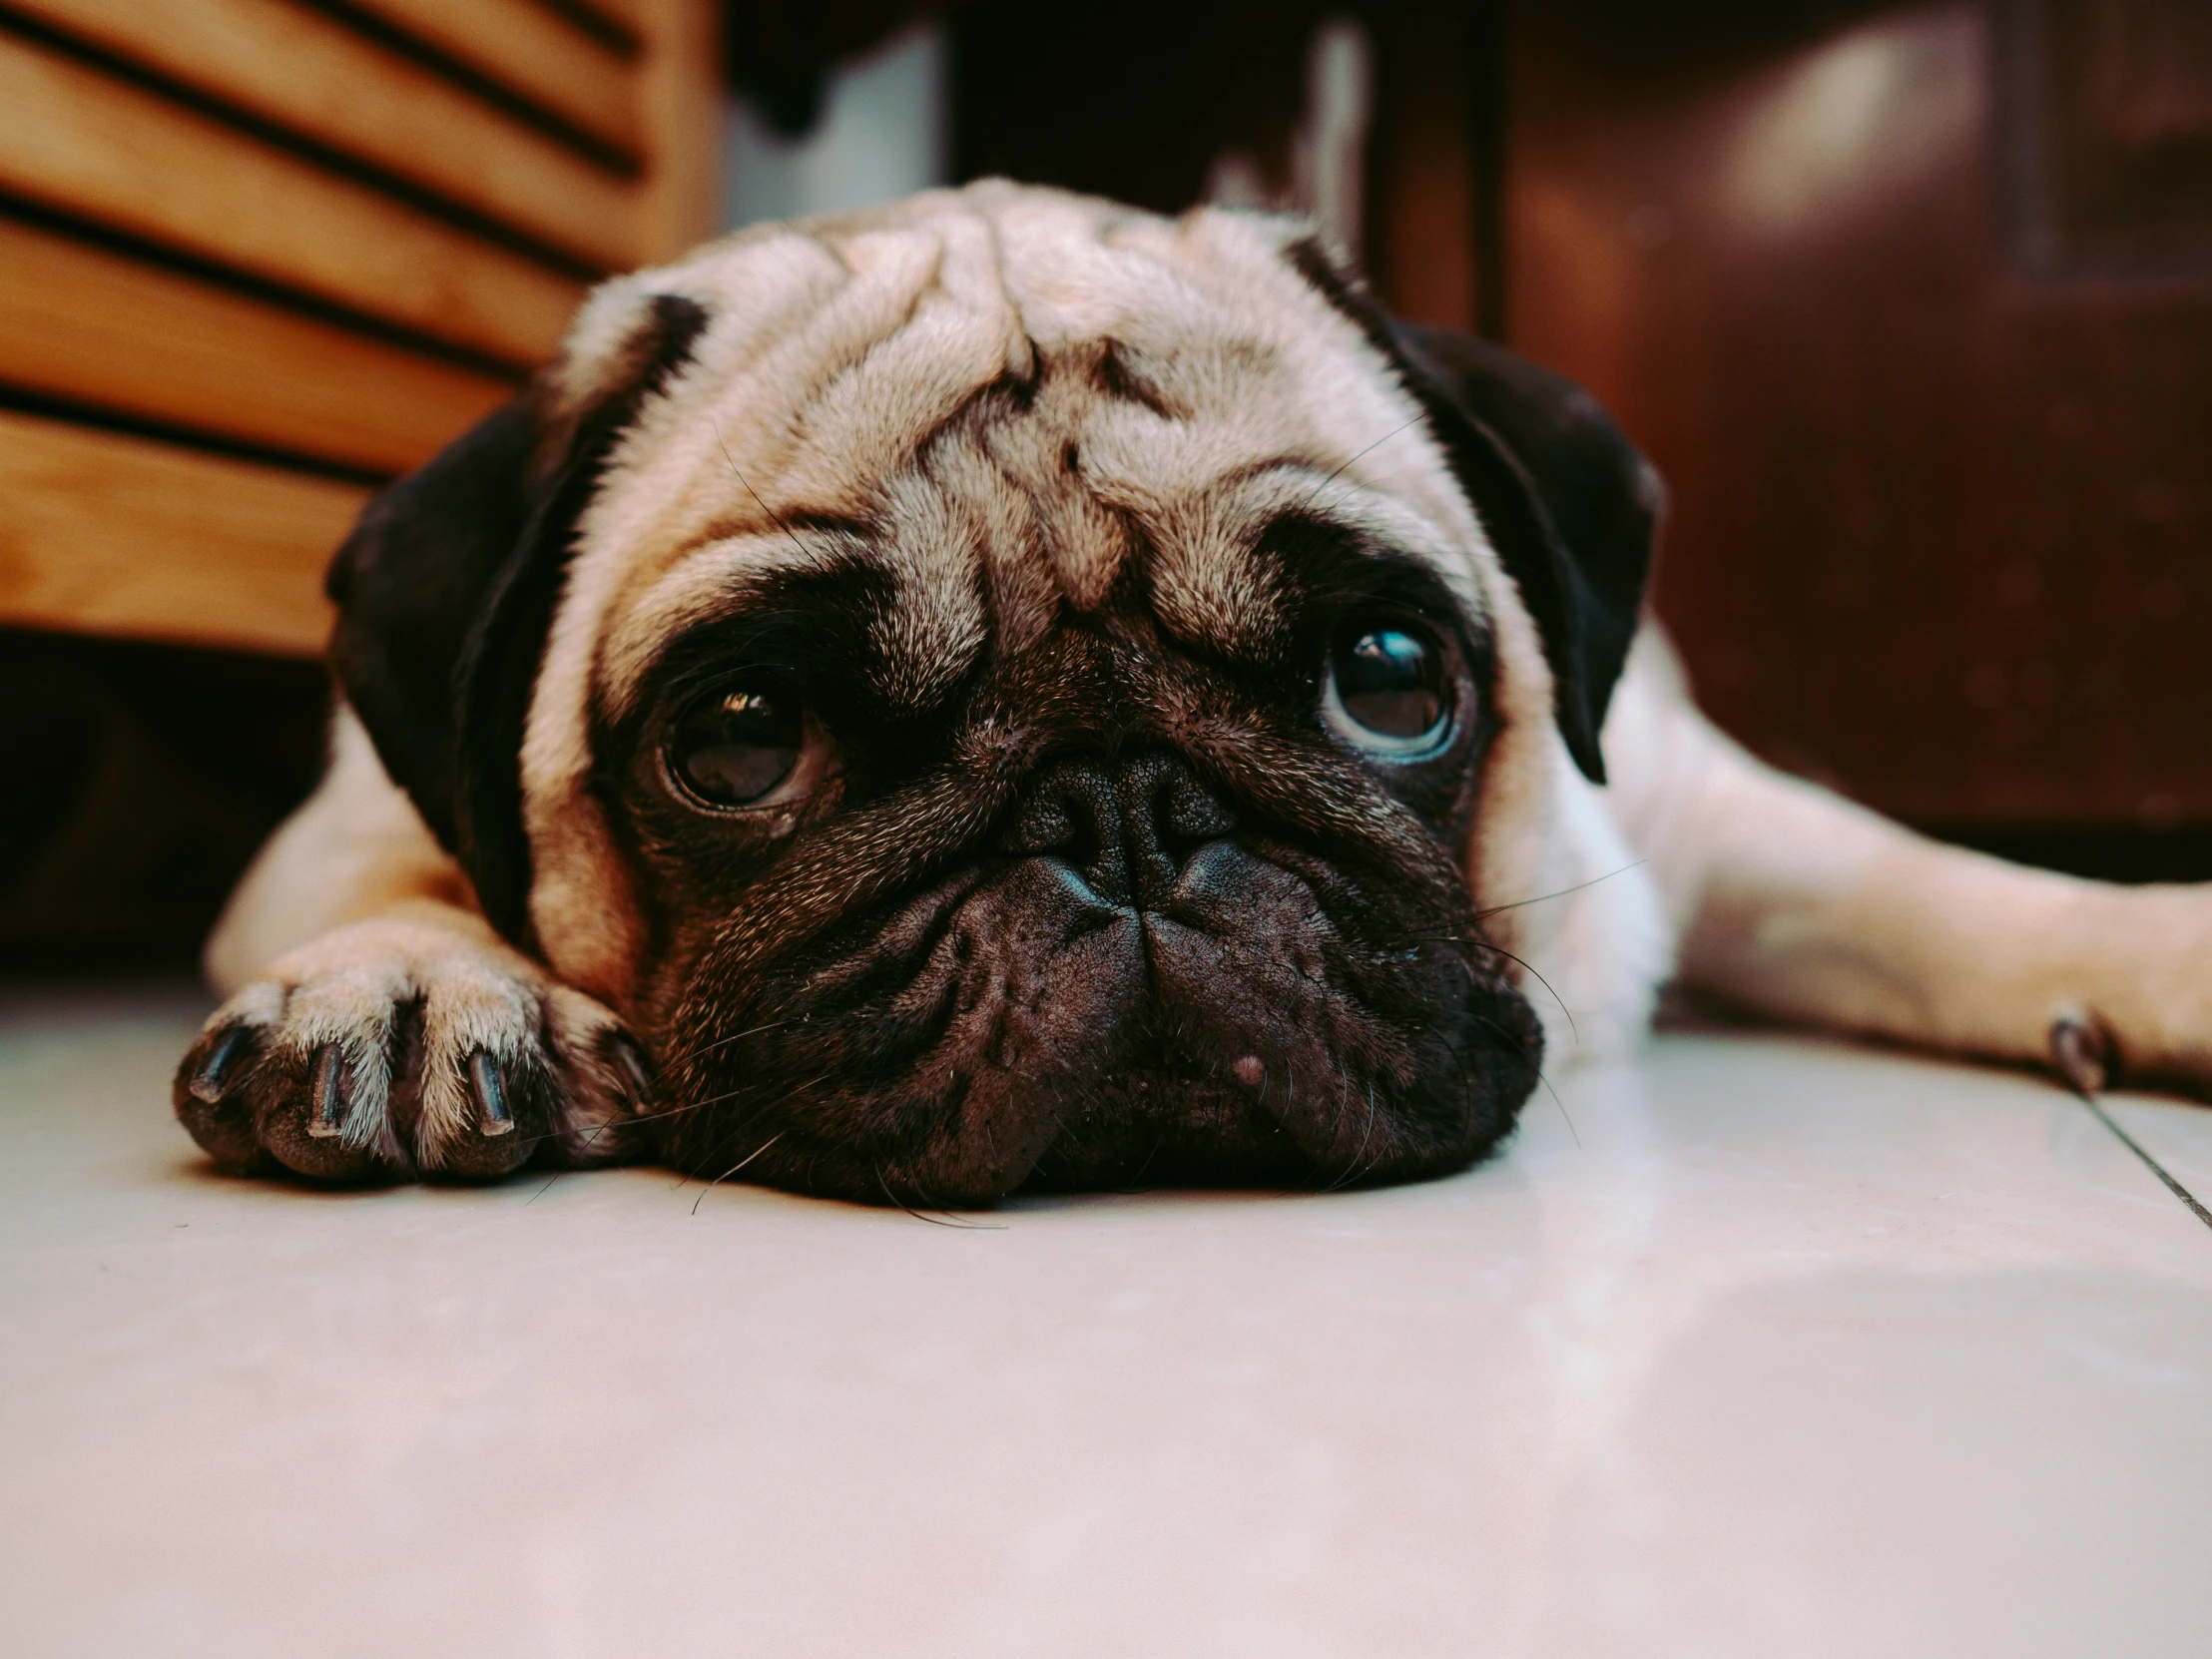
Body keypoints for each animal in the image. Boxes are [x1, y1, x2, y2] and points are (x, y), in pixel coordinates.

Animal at [172, 181, 2212, 1203]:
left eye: (1390, 675)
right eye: (744, 740)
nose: (1125, 816)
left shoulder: (1695, 813)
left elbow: (1944, 891)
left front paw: (2149, 950)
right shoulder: (323, 829)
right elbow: (403, 875)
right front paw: (419, 984)